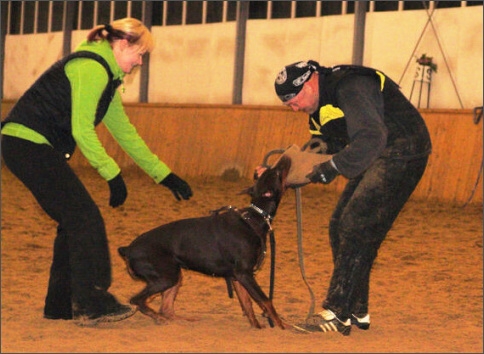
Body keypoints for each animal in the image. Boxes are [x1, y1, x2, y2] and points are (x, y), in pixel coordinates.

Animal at [118, 155, 292, 330]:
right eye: (277, 173)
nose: (285, 157)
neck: (254, 218)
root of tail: (128, 249)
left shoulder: (238, 276)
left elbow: (248, 304)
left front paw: (258, 327)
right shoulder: (244, 274)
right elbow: (266, 300)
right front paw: (283, 327)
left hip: (174, 275)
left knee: (165, 308)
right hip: (166, 277)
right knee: (138, 300)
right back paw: (159, 318)